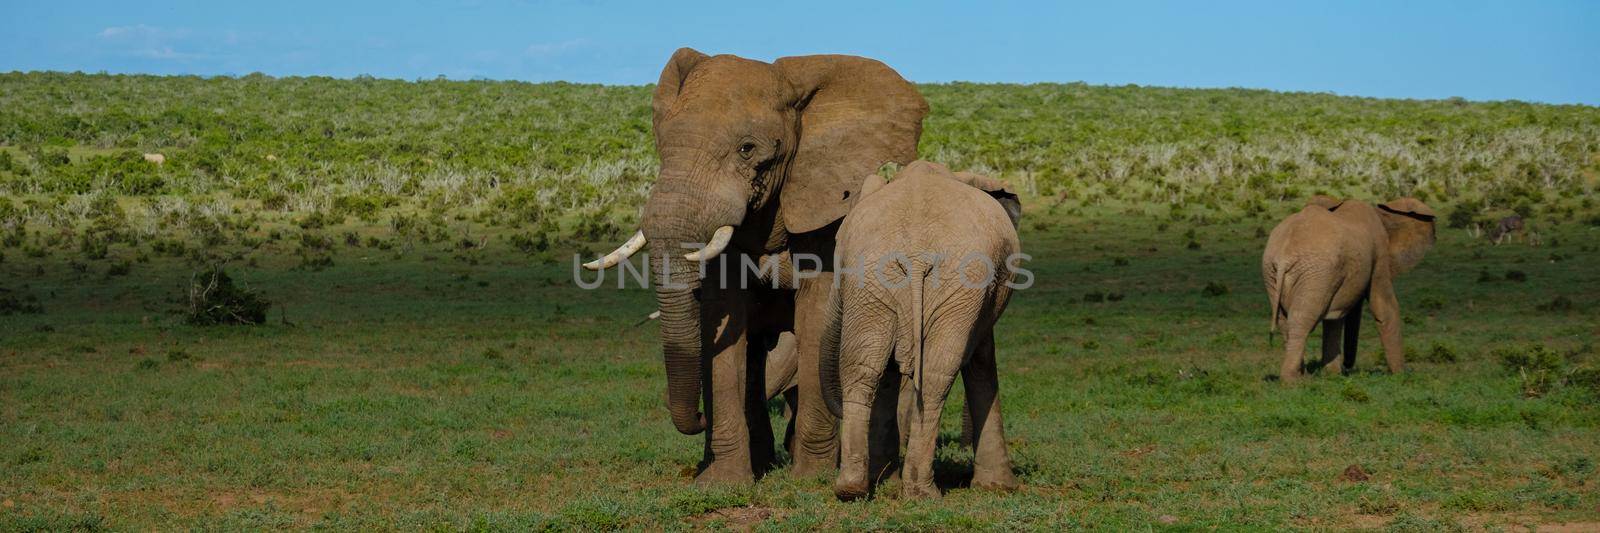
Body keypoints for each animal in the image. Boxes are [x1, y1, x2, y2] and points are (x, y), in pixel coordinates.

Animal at [585, 48, 934, 480]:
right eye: (662, 145)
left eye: (747, 149)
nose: (698, 417)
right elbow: (724, 317)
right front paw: (720, 483)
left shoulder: (822, 210)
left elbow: (815, 314)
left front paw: (811, 479)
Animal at [825, 160, 1024, 499]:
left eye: (837, 246)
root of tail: (916, 255)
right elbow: (981, 359)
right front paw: (1000, 487)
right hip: (956, 283)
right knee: (935, 375)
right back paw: (922, 492)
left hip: (874, 280)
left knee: (862, 368)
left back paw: (852, 489)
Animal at [1260, 194, 1440, 377]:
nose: (1347, 366)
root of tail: (1284, 256)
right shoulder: (1379, 253)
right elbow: (1384, 307)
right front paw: (1401, 374)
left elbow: (1334, 316)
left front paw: (1332, 375)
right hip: (1314, 272)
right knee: (1300, 319)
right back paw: (1295, 380)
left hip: (1274, 273)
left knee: (1284, 321)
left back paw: (1301, 375)